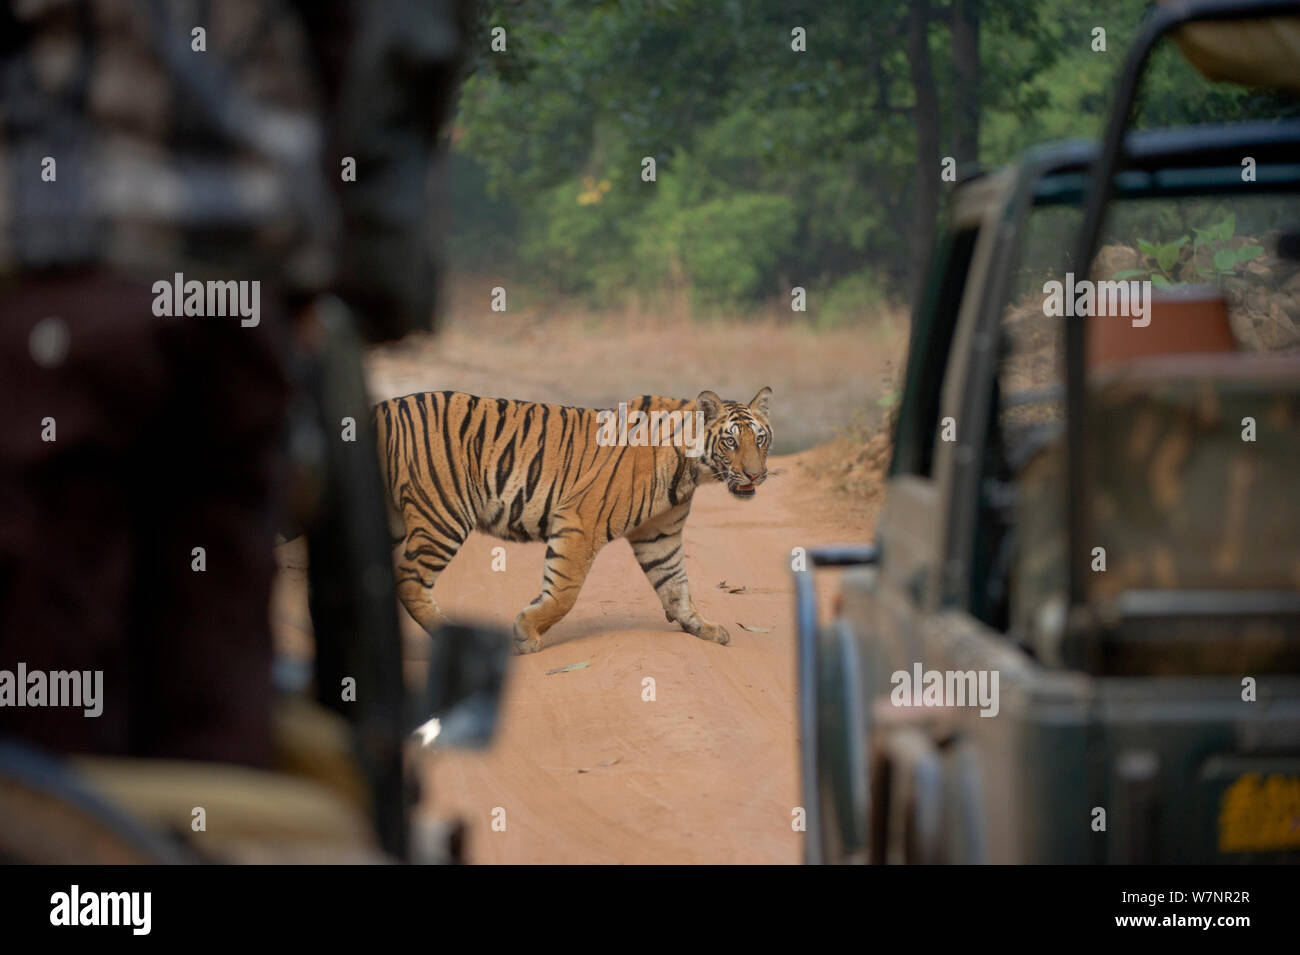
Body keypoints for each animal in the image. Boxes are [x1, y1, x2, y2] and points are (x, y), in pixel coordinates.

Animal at [374, 387, 773, 654]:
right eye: (730, 442)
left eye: (761, 439)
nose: (755, 476)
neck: (691, 470)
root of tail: (381, 409)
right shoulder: (581, 519)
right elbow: (564, 591)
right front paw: (526, 632)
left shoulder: (659, 534)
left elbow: (676, 586)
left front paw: (703, 627)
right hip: (444, 514)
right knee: (409, 580)